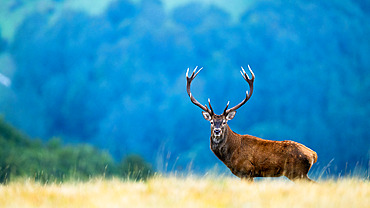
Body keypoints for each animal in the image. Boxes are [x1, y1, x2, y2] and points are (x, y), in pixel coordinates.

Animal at [186, 66, 316, 181]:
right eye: (212, 122)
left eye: (224, 122)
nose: (217, 131)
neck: (231, 154)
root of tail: (313, 155)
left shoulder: (246, 171)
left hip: (297, 172)